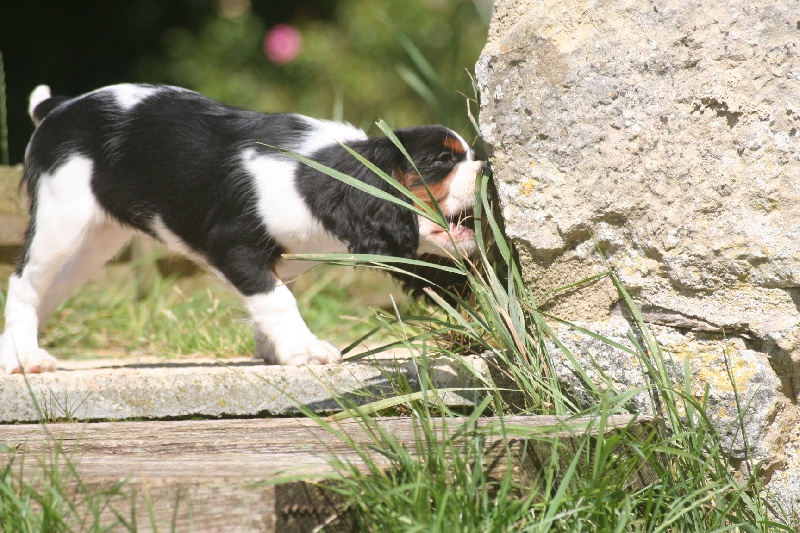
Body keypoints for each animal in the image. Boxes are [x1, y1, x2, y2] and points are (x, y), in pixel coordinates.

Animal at [1, 84, 488, 374]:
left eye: (469, 155)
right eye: (442, 161)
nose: (487, 171)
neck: (316, 174)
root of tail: (59, 107)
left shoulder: (283, 259)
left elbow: (271, 300)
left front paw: (274, 351)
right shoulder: (234, 247)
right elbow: (278, 300)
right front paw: (304, 350)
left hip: (92, 246)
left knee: (48, 291)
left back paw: (14, 354)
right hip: (62, 222)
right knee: (23, 283)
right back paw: (29, 358)